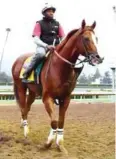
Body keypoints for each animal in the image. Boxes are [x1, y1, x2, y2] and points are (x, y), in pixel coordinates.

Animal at [11, 19, 103, 153]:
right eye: (86, 38)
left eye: (96, 38)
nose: (97, 58)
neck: (59, 68)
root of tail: (17, 61)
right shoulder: (47, 98)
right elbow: (54, 122)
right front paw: (48, 143)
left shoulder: (65, 98)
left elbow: (61, 121)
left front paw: (60, 144)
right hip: (21, 88)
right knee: (23, 109)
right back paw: (26, 133)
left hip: (32, 92)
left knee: (27, 108)